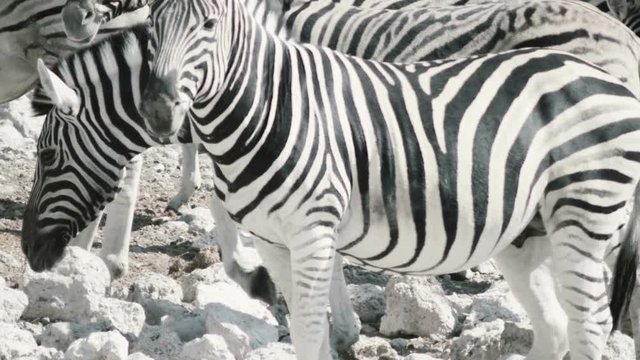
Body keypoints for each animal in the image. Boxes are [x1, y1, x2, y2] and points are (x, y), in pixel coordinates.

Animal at [21, 0, 640, 360]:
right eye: (152, 35)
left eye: (47, 155)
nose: (32, 255)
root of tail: (621, 37)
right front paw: (339, 324)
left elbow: (219, 209)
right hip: (526, 227)